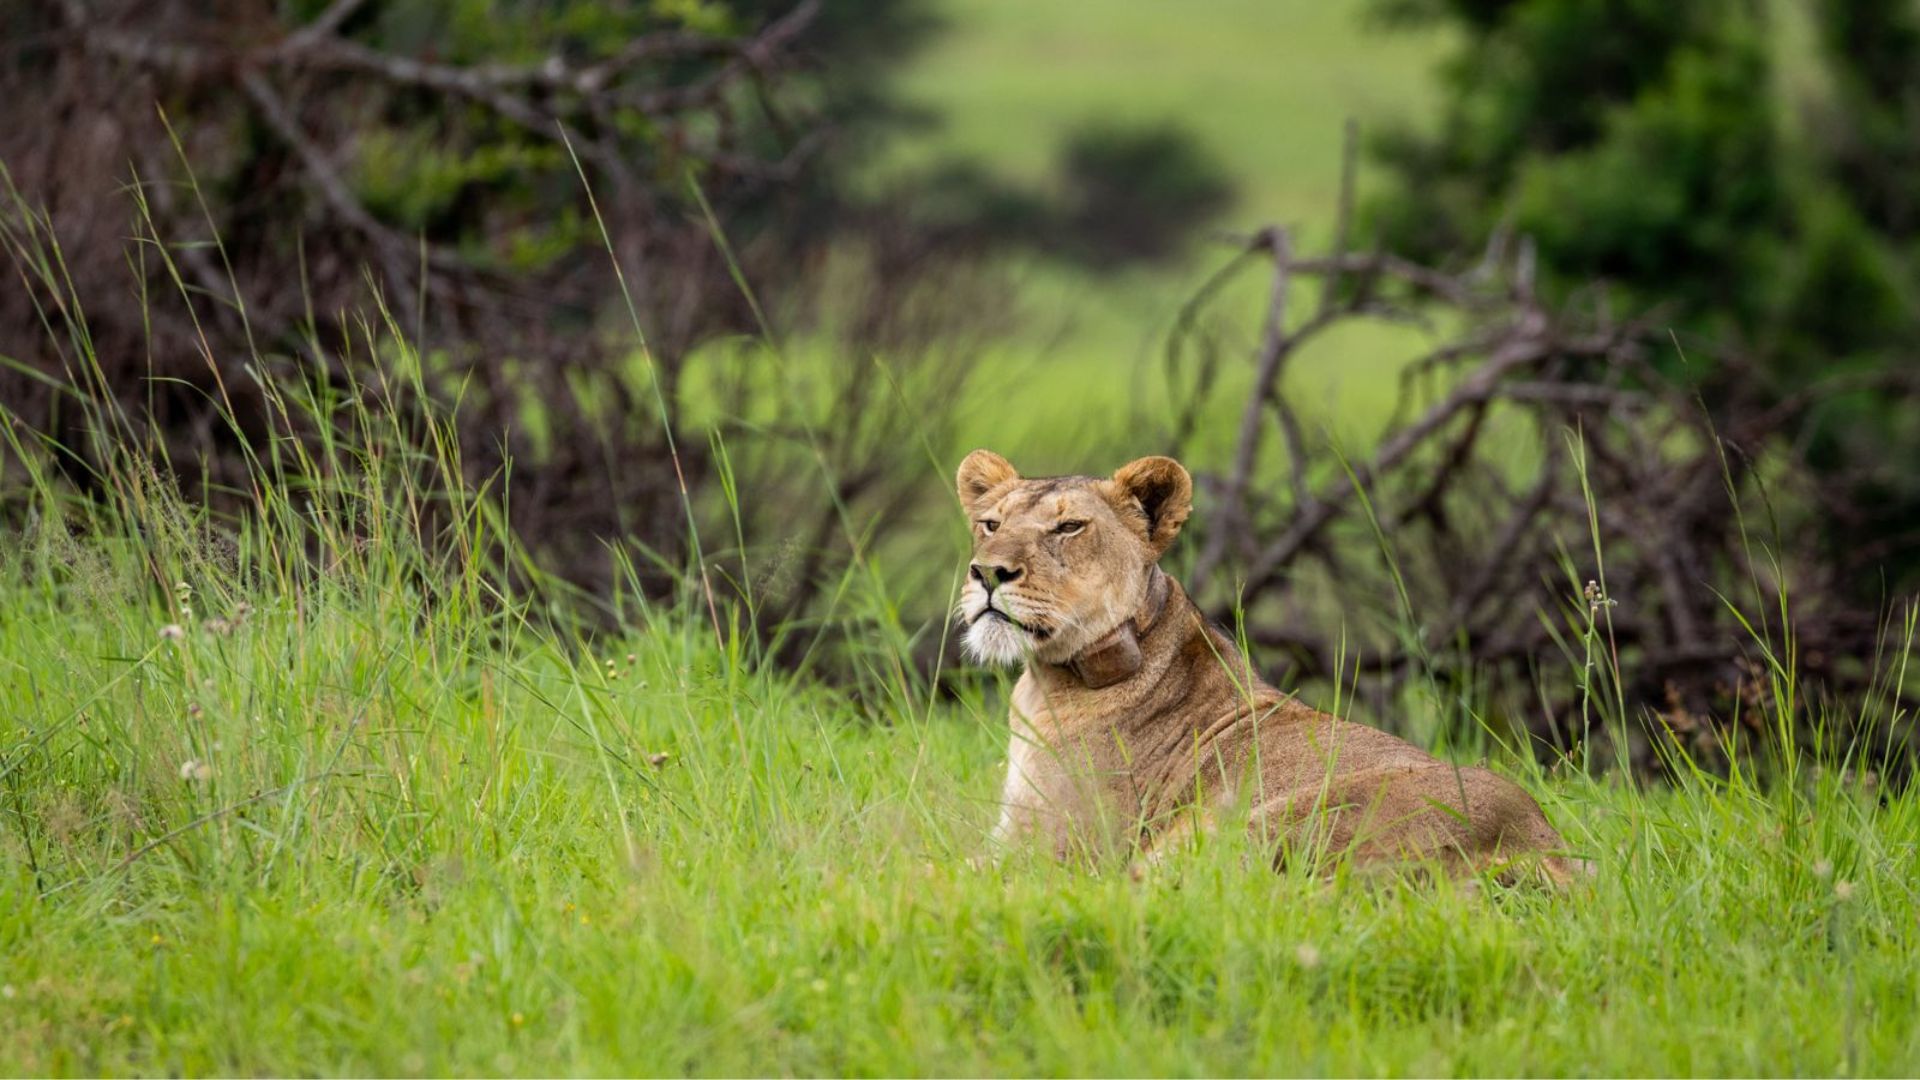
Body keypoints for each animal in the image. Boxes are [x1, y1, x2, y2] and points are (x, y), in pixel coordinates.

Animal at [956, 448, 1582, 882]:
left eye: (1068, 528)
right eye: (991, 524)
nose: (986, 572)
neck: (1044, 682)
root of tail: (1535, 843)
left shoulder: (1054, 850)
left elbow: (947, 873)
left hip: (1244, 826)